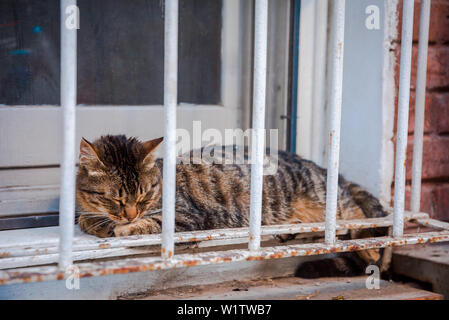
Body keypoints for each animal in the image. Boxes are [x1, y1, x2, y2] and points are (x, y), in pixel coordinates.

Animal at [75, 134, 386, 266]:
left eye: (144, 194)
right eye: (115, 199)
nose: (130, 214)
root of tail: (329, 171)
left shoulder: (186, 217)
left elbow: (152, 224)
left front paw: (124, 228)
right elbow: (86, 218)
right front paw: (100, 222)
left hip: (328, 198)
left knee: (356, 216)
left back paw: (369, 248)